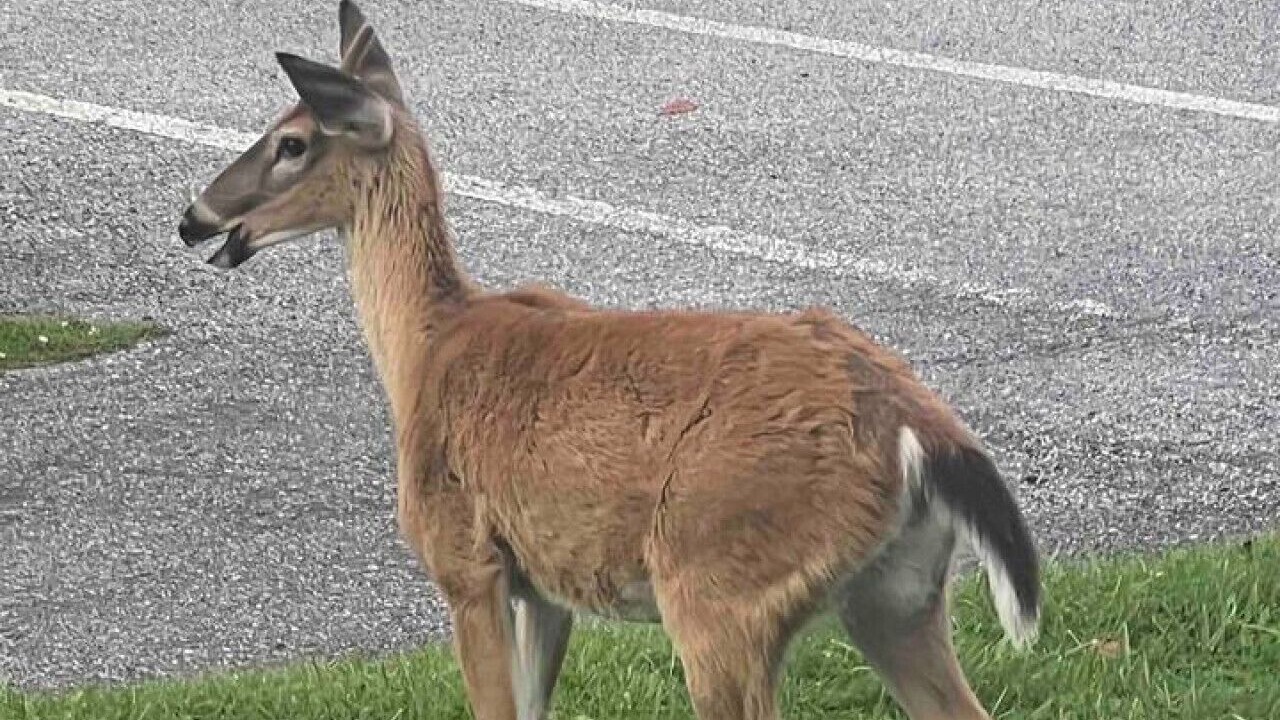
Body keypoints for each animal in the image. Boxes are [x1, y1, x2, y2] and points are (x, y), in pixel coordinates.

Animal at [177, 3, 1041, 718]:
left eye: (291, 142)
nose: (194, 217)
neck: (424, 350)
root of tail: (914, 423)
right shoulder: (542, 587)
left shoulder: (465, 560)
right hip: (896, 593)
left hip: (721, 586)